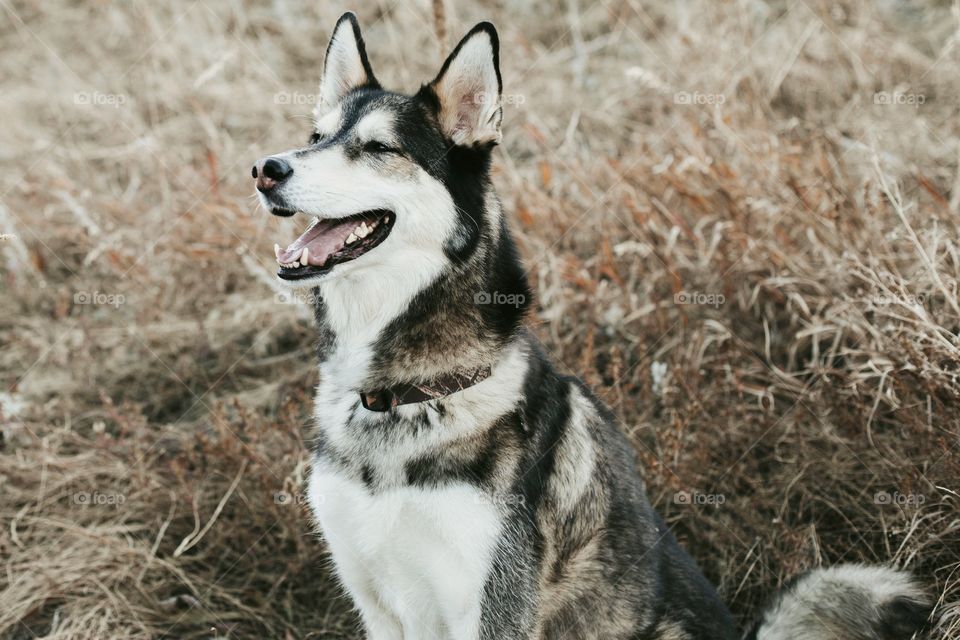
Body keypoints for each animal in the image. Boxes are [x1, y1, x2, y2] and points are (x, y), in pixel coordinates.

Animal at [253, 11, 928, 640]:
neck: (403, 395)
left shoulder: (492, 609)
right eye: (316, 137)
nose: (266, 168)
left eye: (378, 148)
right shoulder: (377, 603)